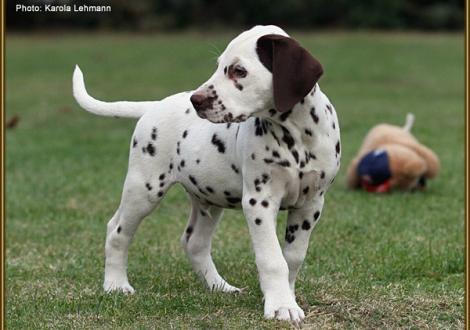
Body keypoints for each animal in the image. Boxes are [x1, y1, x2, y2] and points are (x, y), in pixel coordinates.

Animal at [71, 25, 340, 322]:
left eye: (239, 71)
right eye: (219, 65)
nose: (196, 100)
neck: (296, 135)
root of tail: (154, 105)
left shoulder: (311, 205)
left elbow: (292, 257)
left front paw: (284, 297)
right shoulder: (259, 202)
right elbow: (272, 258)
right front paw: (281, 304)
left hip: (208, 199)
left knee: (194, 242)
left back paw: (219, 286)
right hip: (144, 189)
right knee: (117, 231)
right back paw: (116, 284)